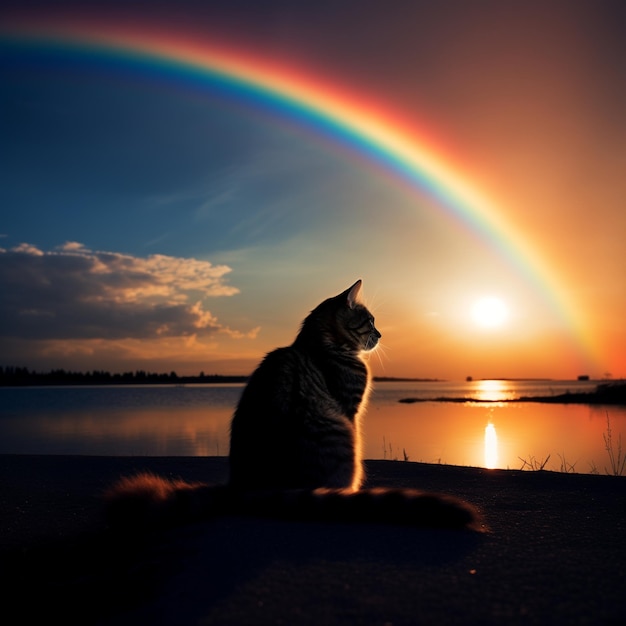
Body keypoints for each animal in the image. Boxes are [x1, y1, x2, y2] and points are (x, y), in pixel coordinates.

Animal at [105, 280, 480, 528]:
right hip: (341, 434)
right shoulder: (350, 411)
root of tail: (244, 487)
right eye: (371, 320)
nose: (382, 334)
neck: (322, 345)